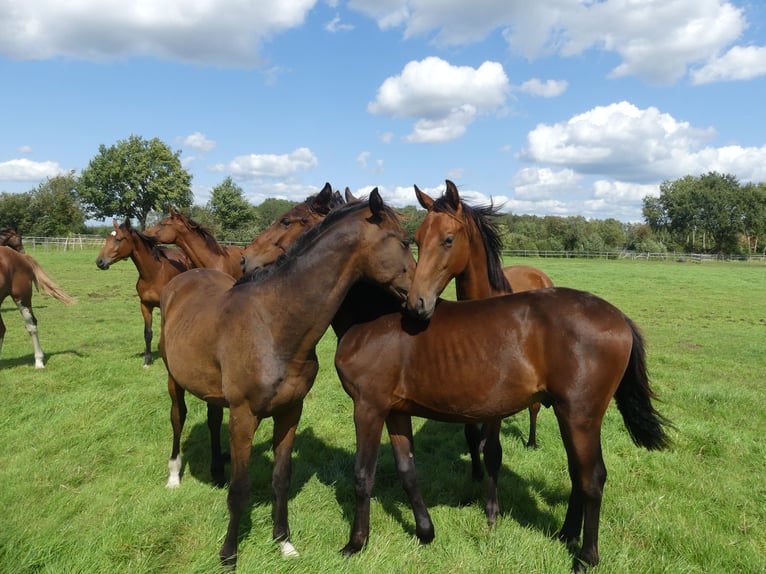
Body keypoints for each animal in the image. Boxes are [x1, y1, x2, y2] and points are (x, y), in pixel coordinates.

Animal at [96, 220, 192, 368]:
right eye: (107, 238)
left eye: (118, 239)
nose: (100, 262)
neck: (154, 274)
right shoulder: (145, 305)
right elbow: (148, 333)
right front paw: (147, 360)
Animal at [158, 191, 416, 568]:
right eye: (403, 241)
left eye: (287, 221)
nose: (422, 297)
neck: (272, 324)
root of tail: (181, 279)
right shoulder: (244, 416)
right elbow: (241, 488)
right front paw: (229, 555)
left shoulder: (290, 411)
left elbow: (281, 478)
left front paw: (284, 543)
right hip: (173, 380)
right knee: (178, 418)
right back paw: (175, 475)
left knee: (212, 418)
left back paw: (216, 473)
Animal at [336, 253, 672, 574]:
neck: (370, 317)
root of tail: (620, 318)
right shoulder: (395, 411)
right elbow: (407, 469)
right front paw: (424, 533)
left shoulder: (368, 407)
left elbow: (363, 474)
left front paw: (355, 544)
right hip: (569, 417)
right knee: (578, 472)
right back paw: (566, 534)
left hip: (581, 418)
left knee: (593, 478)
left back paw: (586, 558)